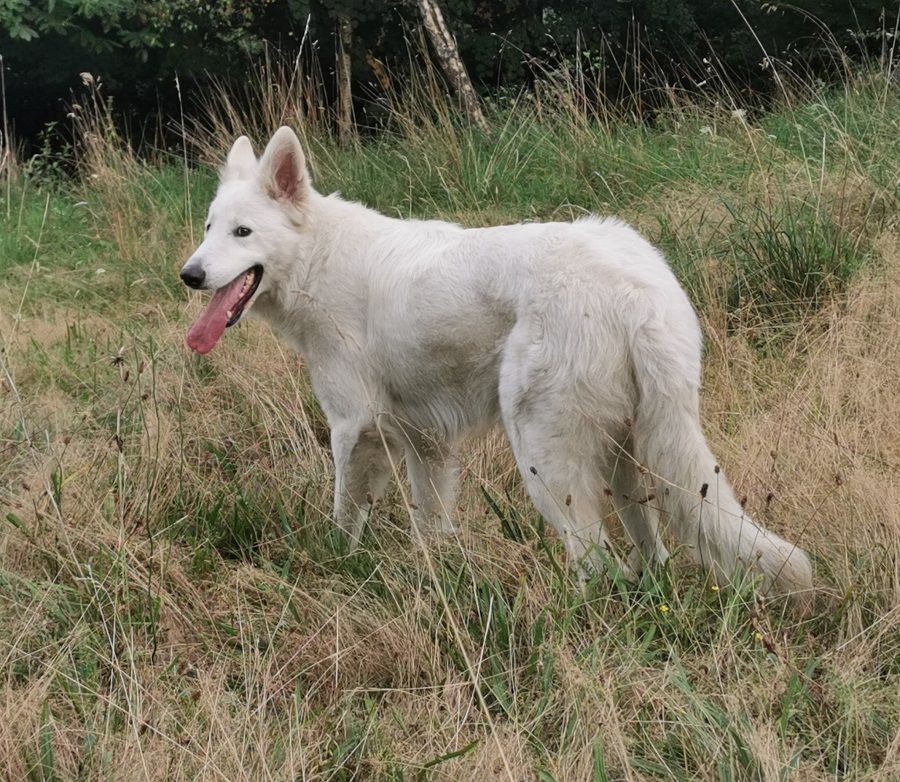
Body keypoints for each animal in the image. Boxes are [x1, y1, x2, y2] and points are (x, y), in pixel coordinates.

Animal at [179, 127, 812, 600]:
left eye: (243, 232)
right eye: (208, 228)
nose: (189, 274)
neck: (320, 257)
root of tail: (636, 291)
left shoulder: (355, 431)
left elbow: (344, 519)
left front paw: (337, 571)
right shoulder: (427, 444)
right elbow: (432, 529)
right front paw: (436, 583)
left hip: (544, 459)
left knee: (597, 563)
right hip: (628, 457)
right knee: (648, 552)